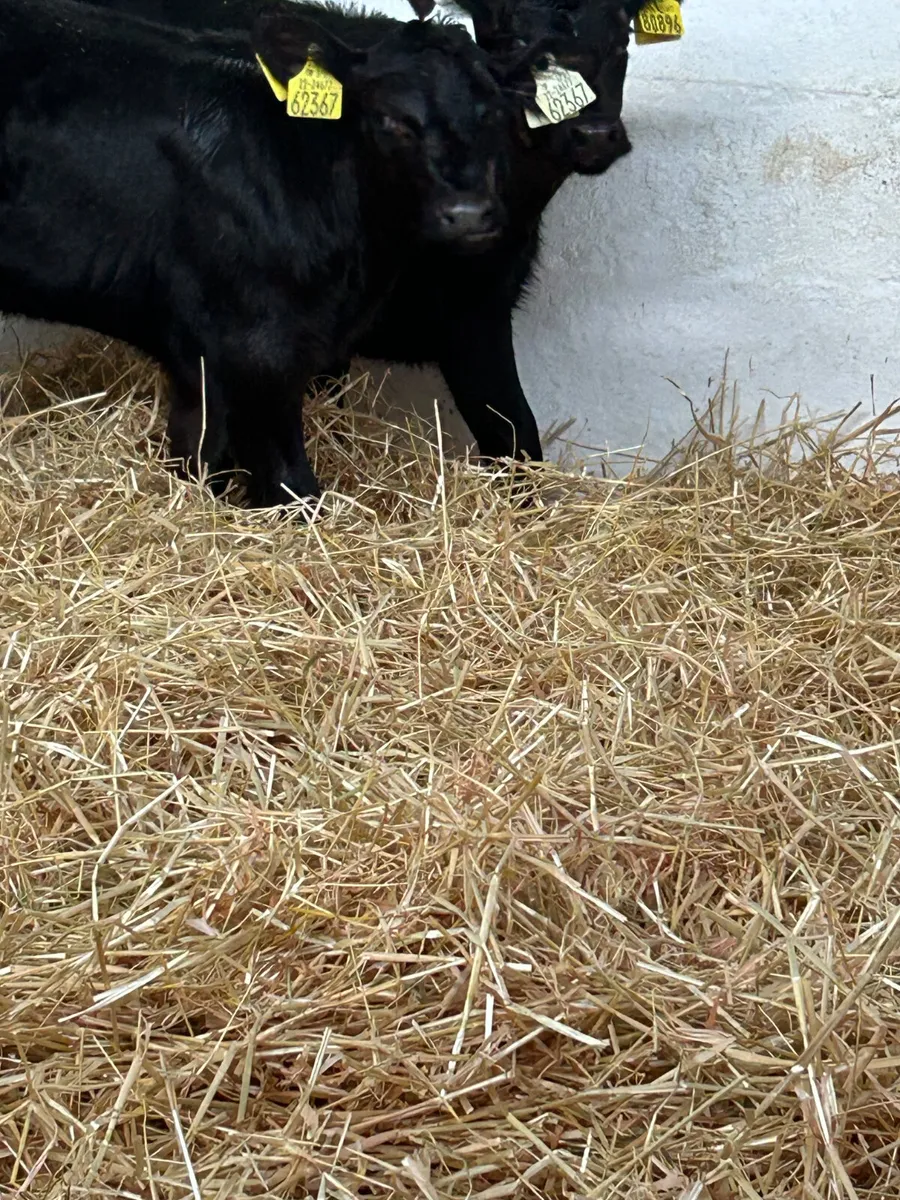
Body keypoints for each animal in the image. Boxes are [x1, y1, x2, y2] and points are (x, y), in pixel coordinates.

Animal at [0, 0, 525, 505]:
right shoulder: (257, 351)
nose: (469, 213)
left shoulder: (200, 361)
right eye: (392, 119)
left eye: (495, 112)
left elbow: (198, 456)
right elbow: (291, 485)